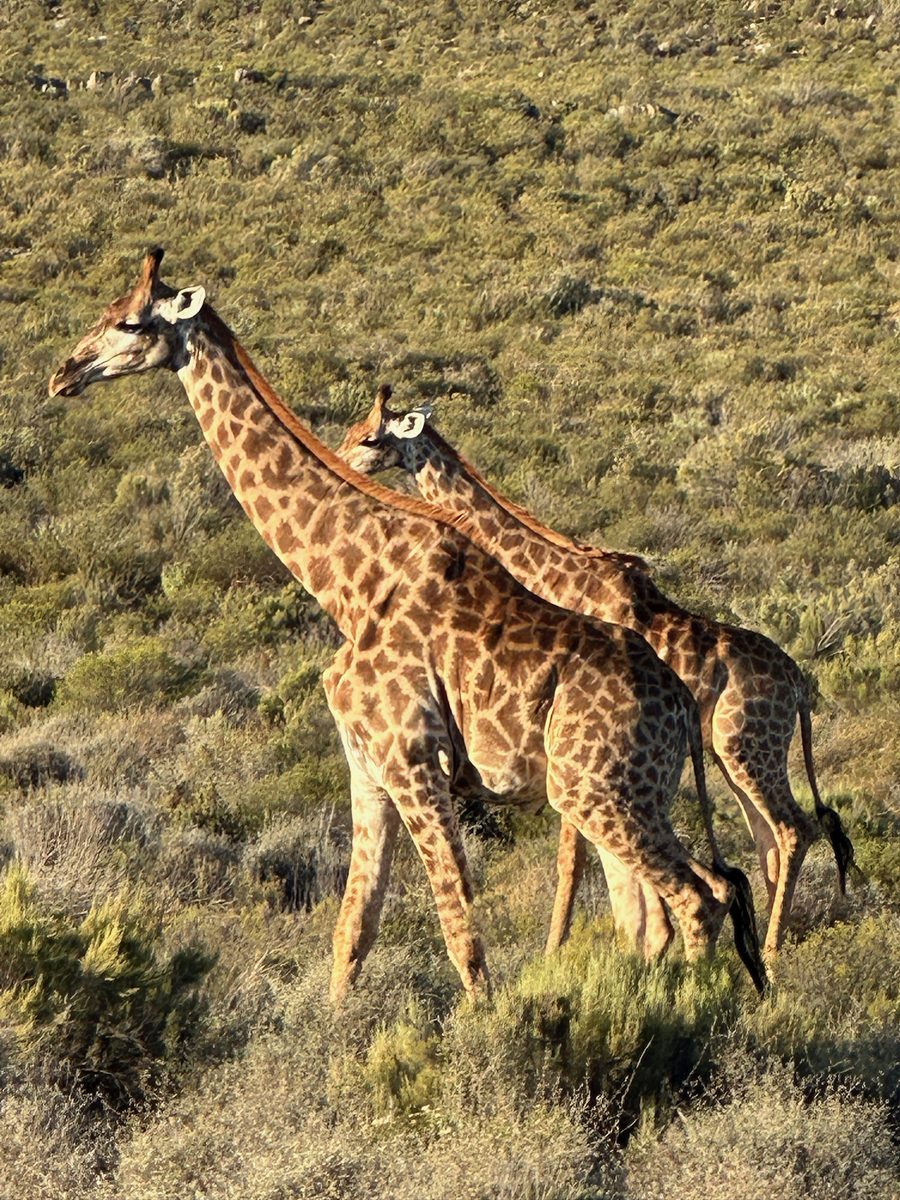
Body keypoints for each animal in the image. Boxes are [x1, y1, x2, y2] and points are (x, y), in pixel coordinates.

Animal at [49, 250, 766, 1000]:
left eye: (131, 321)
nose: (62, 375)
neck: (347, 583)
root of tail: (680, 702)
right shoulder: (367, 767)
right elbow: (353, 928)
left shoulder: (415, 761)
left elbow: (459, 927)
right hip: (636, 794)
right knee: (702, 892)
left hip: (593, 791)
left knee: (695, 897)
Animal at [338, 390, 855, 961]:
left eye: (370, 438)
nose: (340, 461)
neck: (555, 575)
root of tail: (801, 684)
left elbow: (573, 862)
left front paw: (556, 954)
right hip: (732, 753)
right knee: (771, 839)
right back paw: (768, 943)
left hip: (749, 748)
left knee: (793, 829)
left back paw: (773, 951)